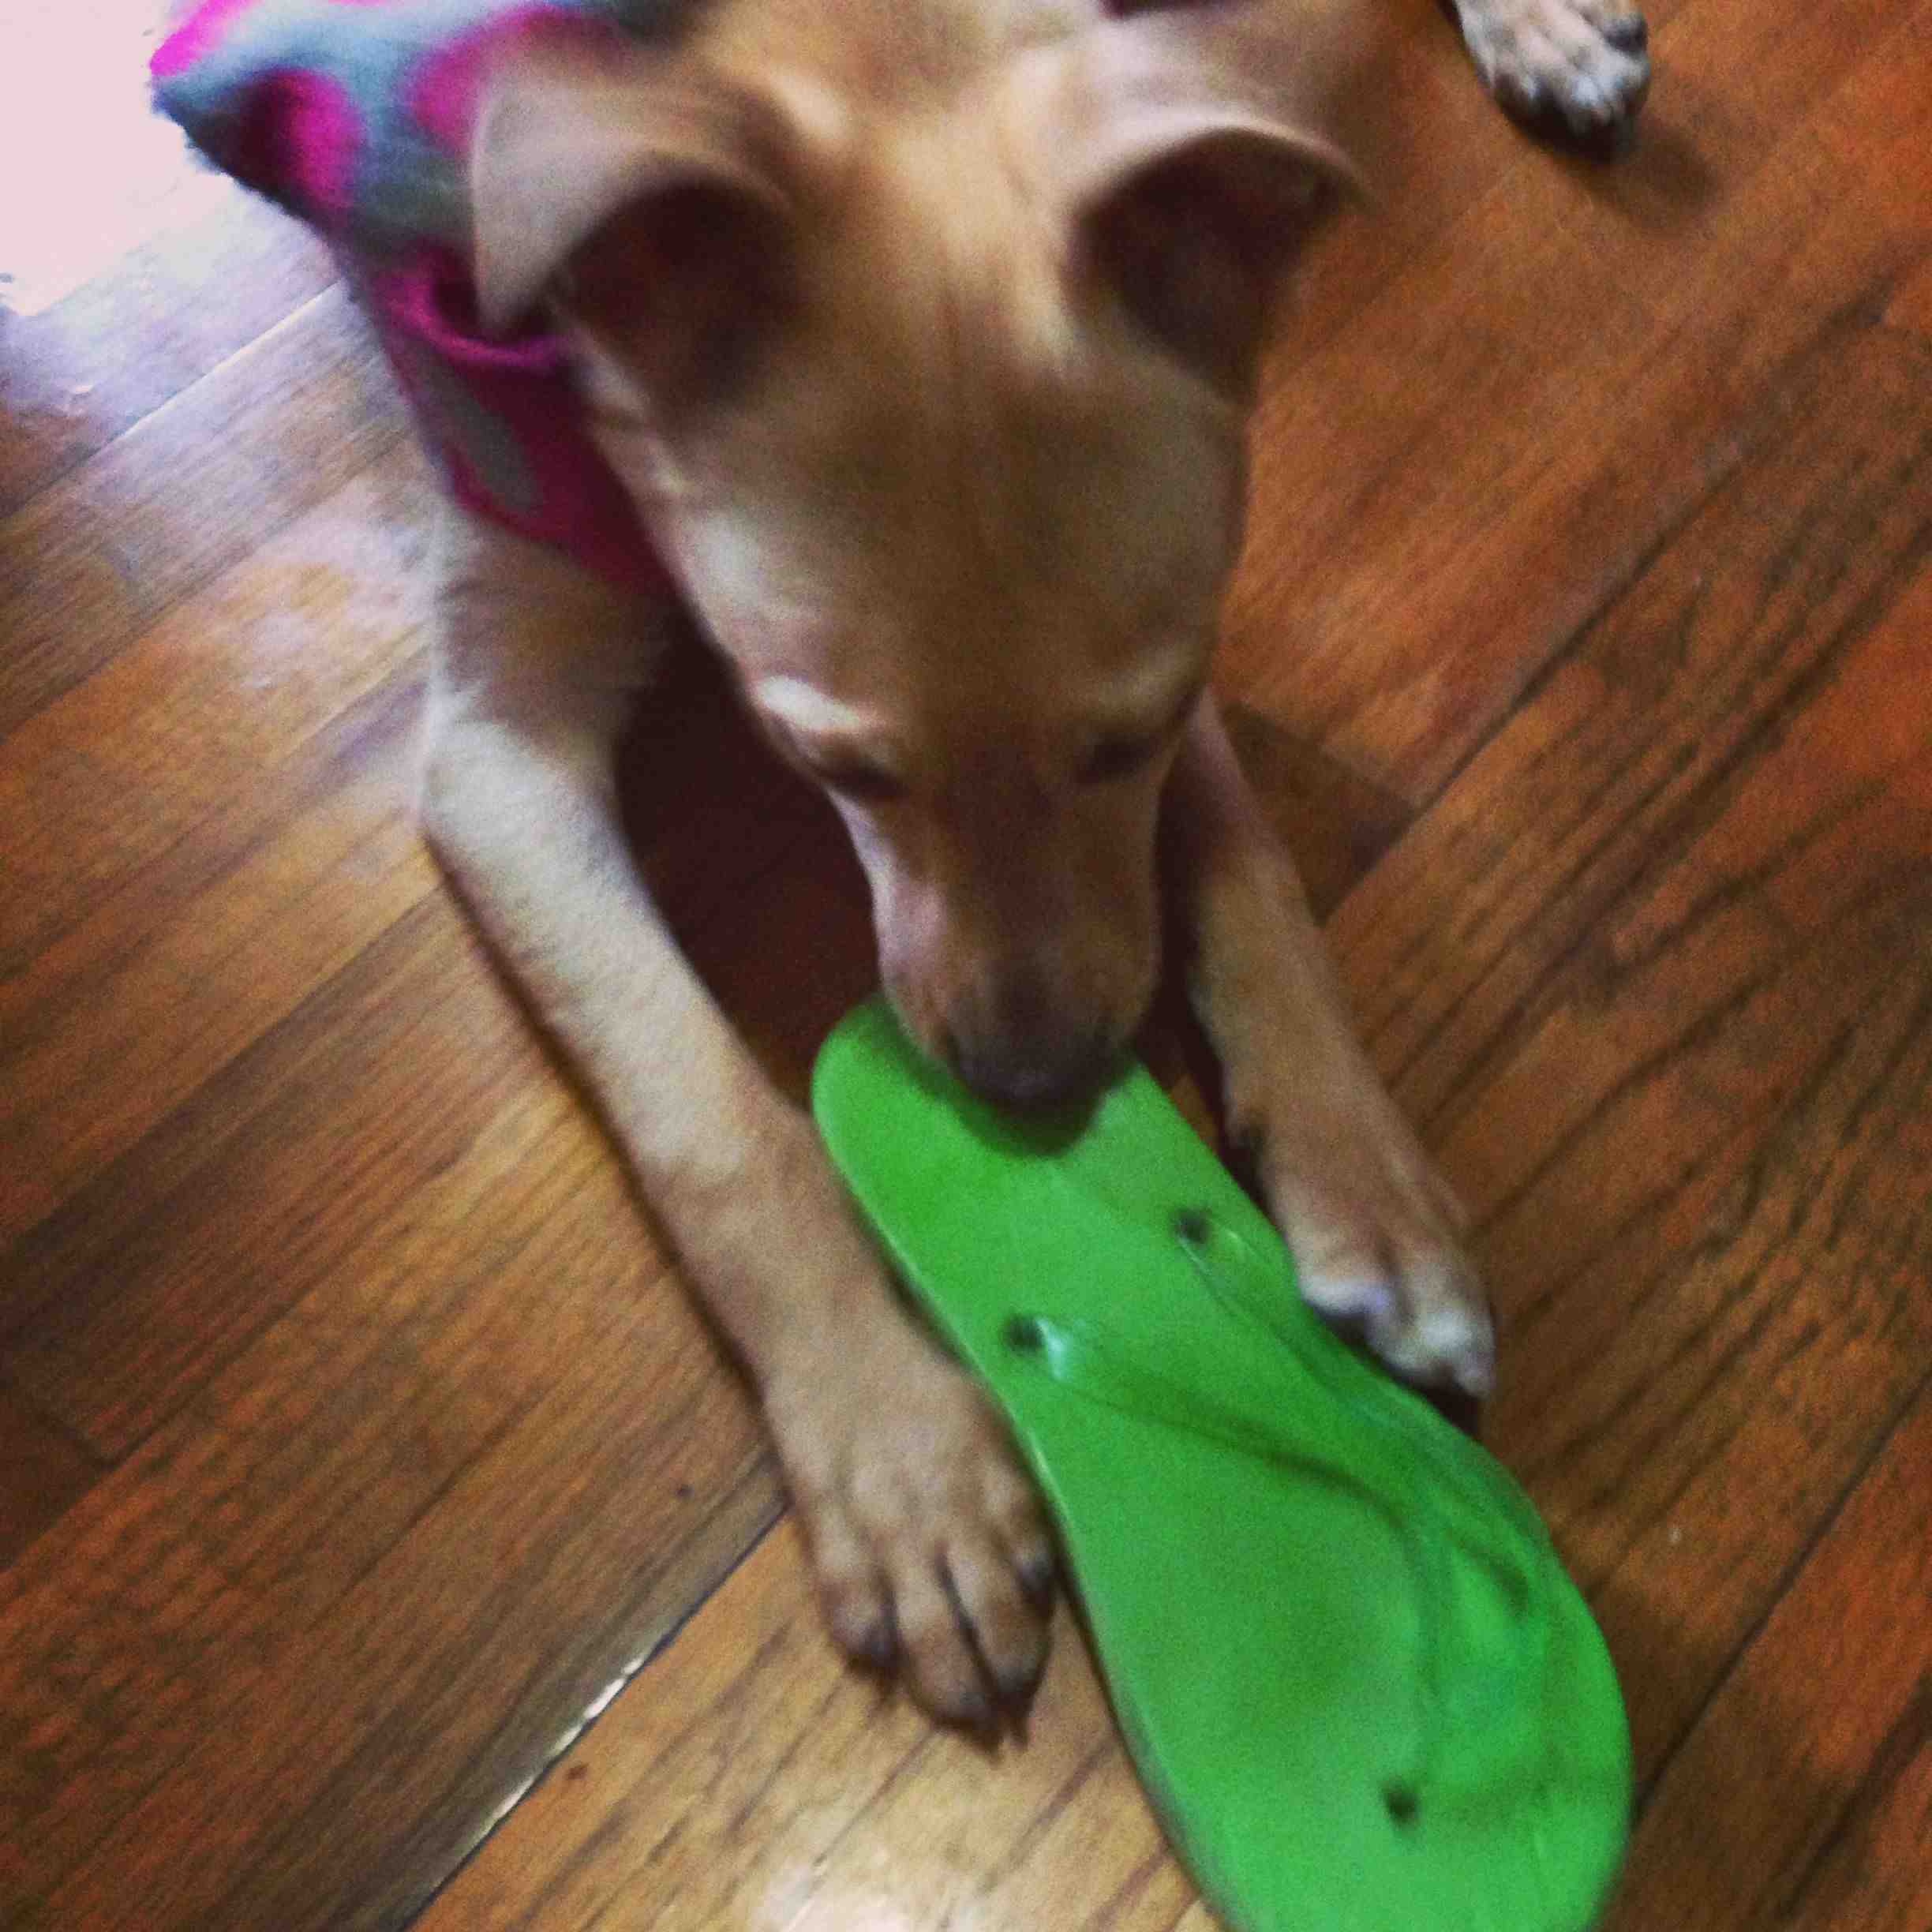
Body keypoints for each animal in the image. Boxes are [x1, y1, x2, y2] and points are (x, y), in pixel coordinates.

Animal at [158, 0, 1647, 1730]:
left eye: (1134, 733)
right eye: (832, 767)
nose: (1034, 1091)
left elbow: (1253, 877)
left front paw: (1369, 1181)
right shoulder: (494, 740)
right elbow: (710, 1118)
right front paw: (900, 1458)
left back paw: (1538, 30)